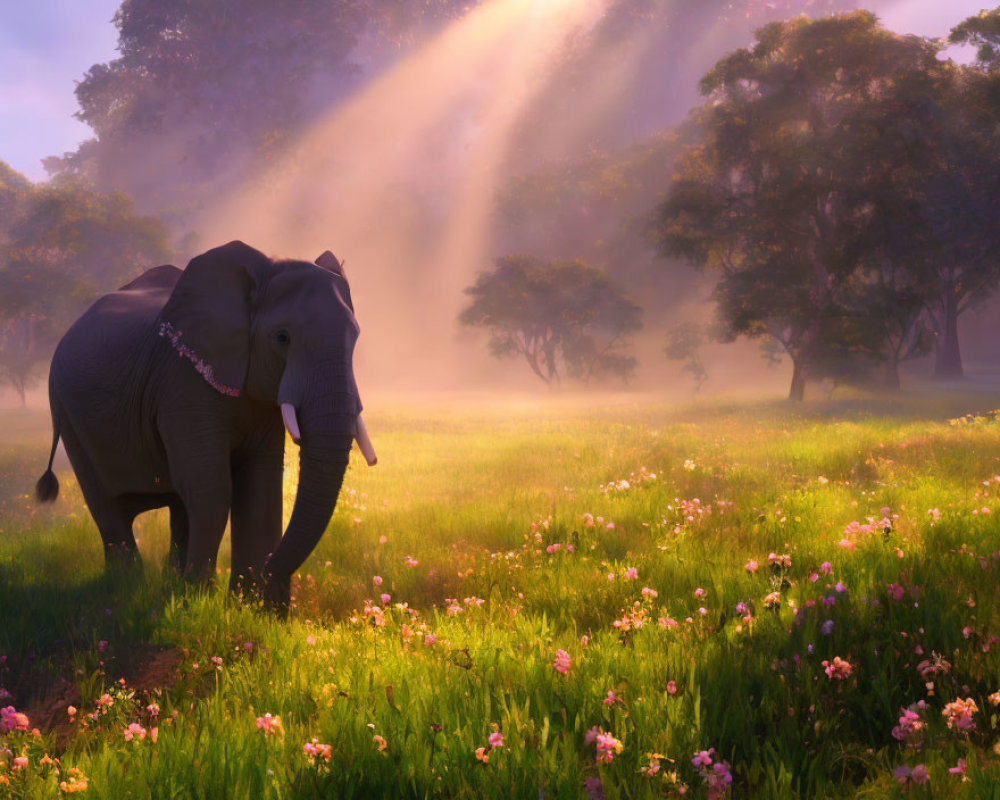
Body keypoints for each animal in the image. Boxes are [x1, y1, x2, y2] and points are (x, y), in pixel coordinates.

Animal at [36, 239, 376, 612]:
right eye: (282, 338)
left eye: (356, 336)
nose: (266, 580)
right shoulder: (183, 383)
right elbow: (211, 487)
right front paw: (199, 603)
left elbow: (260, 486)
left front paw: (252, 611)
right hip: (65, 409)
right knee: (107, 505)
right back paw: (130, 587)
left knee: (178, 506)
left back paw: (169, 582)